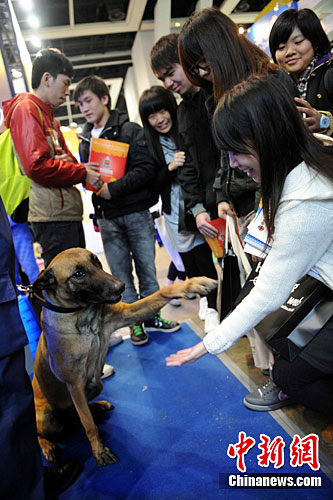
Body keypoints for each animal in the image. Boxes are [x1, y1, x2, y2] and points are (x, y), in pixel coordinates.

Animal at [31, 248, 217, 466]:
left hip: (96, 385)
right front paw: (99, 450)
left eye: (96, 261)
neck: (82, 316)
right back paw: (47, 446)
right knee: (45, 431)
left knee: (79, 412)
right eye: (78, 274)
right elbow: (88, 424)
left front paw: (192, 283)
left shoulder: (130, 312)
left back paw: (97, 406)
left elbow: (162, 292)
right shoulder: (74, 384)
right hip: (47, 415)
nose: (120, 286)